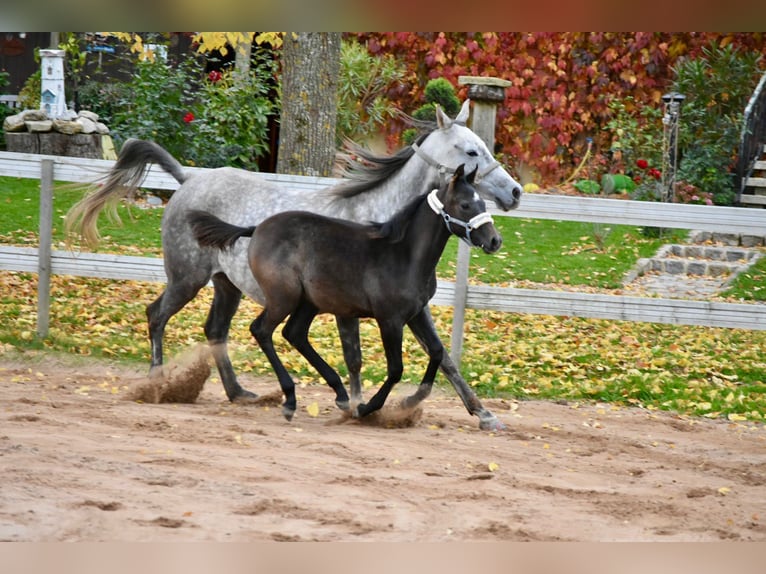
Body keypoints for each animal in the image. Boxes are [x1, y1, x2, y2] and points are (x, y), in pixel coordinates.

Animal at [189, 164, 501, 420]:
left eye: (482, 202)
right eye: (465, 204)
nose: (495, 240)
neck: (404, 255)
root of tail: (256, 229)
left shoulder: (415, 313)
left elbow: (436, 352)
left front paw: (411, 401)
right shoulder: (389, 319)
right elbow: (396, 368)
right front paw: (367, 407)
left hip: (308, 302)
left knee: (294, 333)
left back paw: (339, 394)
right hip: (283, 298)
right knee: (262, 330)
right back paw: (290, 399)